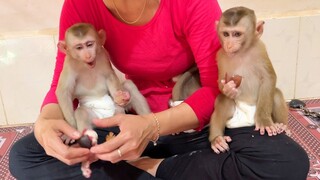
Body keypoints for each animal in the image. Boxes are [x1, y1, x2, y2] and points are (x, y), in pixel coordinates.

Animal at [55, 22, 150, 177]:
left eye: (89, 44)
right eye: (79, 47)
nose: (88, 55)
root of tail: (107, 117)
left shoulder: (102, 55)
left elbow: (110, 76)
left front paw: (120, 97)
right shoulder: (69, 64)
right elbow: (63, 92)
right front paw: (71, 131)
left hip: (118, 111)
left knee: (128, 87)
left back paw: (147, 120)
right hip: (95, 117)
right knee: (81, 112)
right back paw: (88, 145)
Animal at [209, 6, 288, 153]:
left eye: (237, 34)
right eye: (226, 34)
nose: (228, 45)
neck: (241, 52)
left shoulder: (260, 49)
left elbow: (269, 78)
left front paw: (264, 121)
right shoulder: (221, 55)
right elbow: (221, 82)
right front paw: (228, 89)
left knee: (275, 93)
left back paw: (283, 126)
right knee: (224, 100)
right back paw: (217, 139)